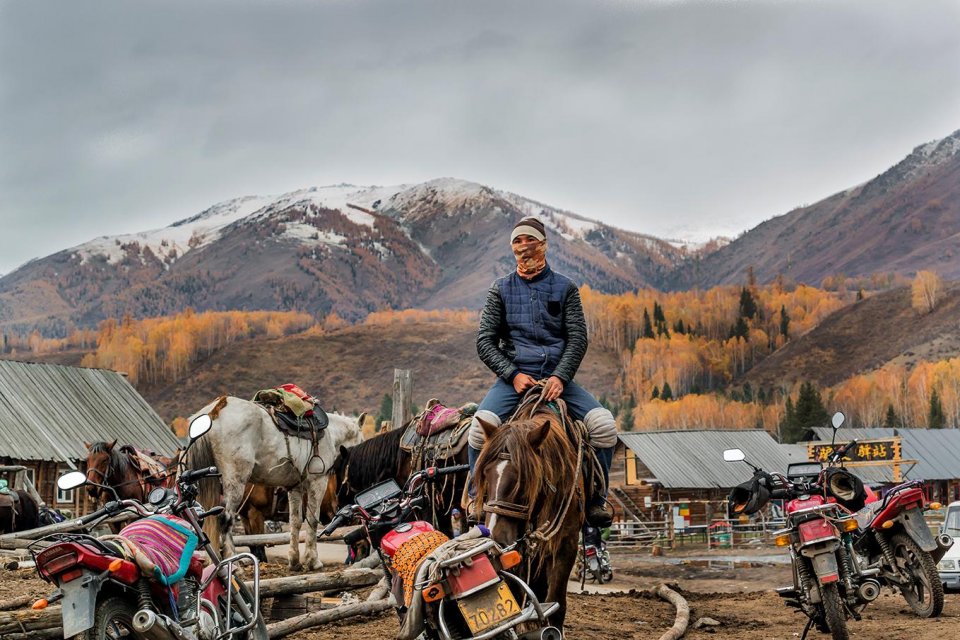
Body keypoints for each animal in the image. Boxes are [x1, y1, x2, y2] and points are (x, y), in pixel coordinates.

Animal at [188, 396, 364, 568]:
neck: (330, 435)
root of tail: (215, 409)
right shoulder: (317, 481)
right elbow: (312, 520)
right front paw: (312, 560)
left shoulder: (295, 487)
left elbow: (295, 522)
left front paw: (294, 561)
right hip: (235, 482)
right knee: (225, 519)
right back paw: (234, 563)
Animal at [474, 396, 584, 632]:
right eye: (486, 474)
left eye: (524, 479)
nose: (496, 539)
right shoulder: (517, 551)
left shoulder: (567, 545)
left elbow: (557, 605)